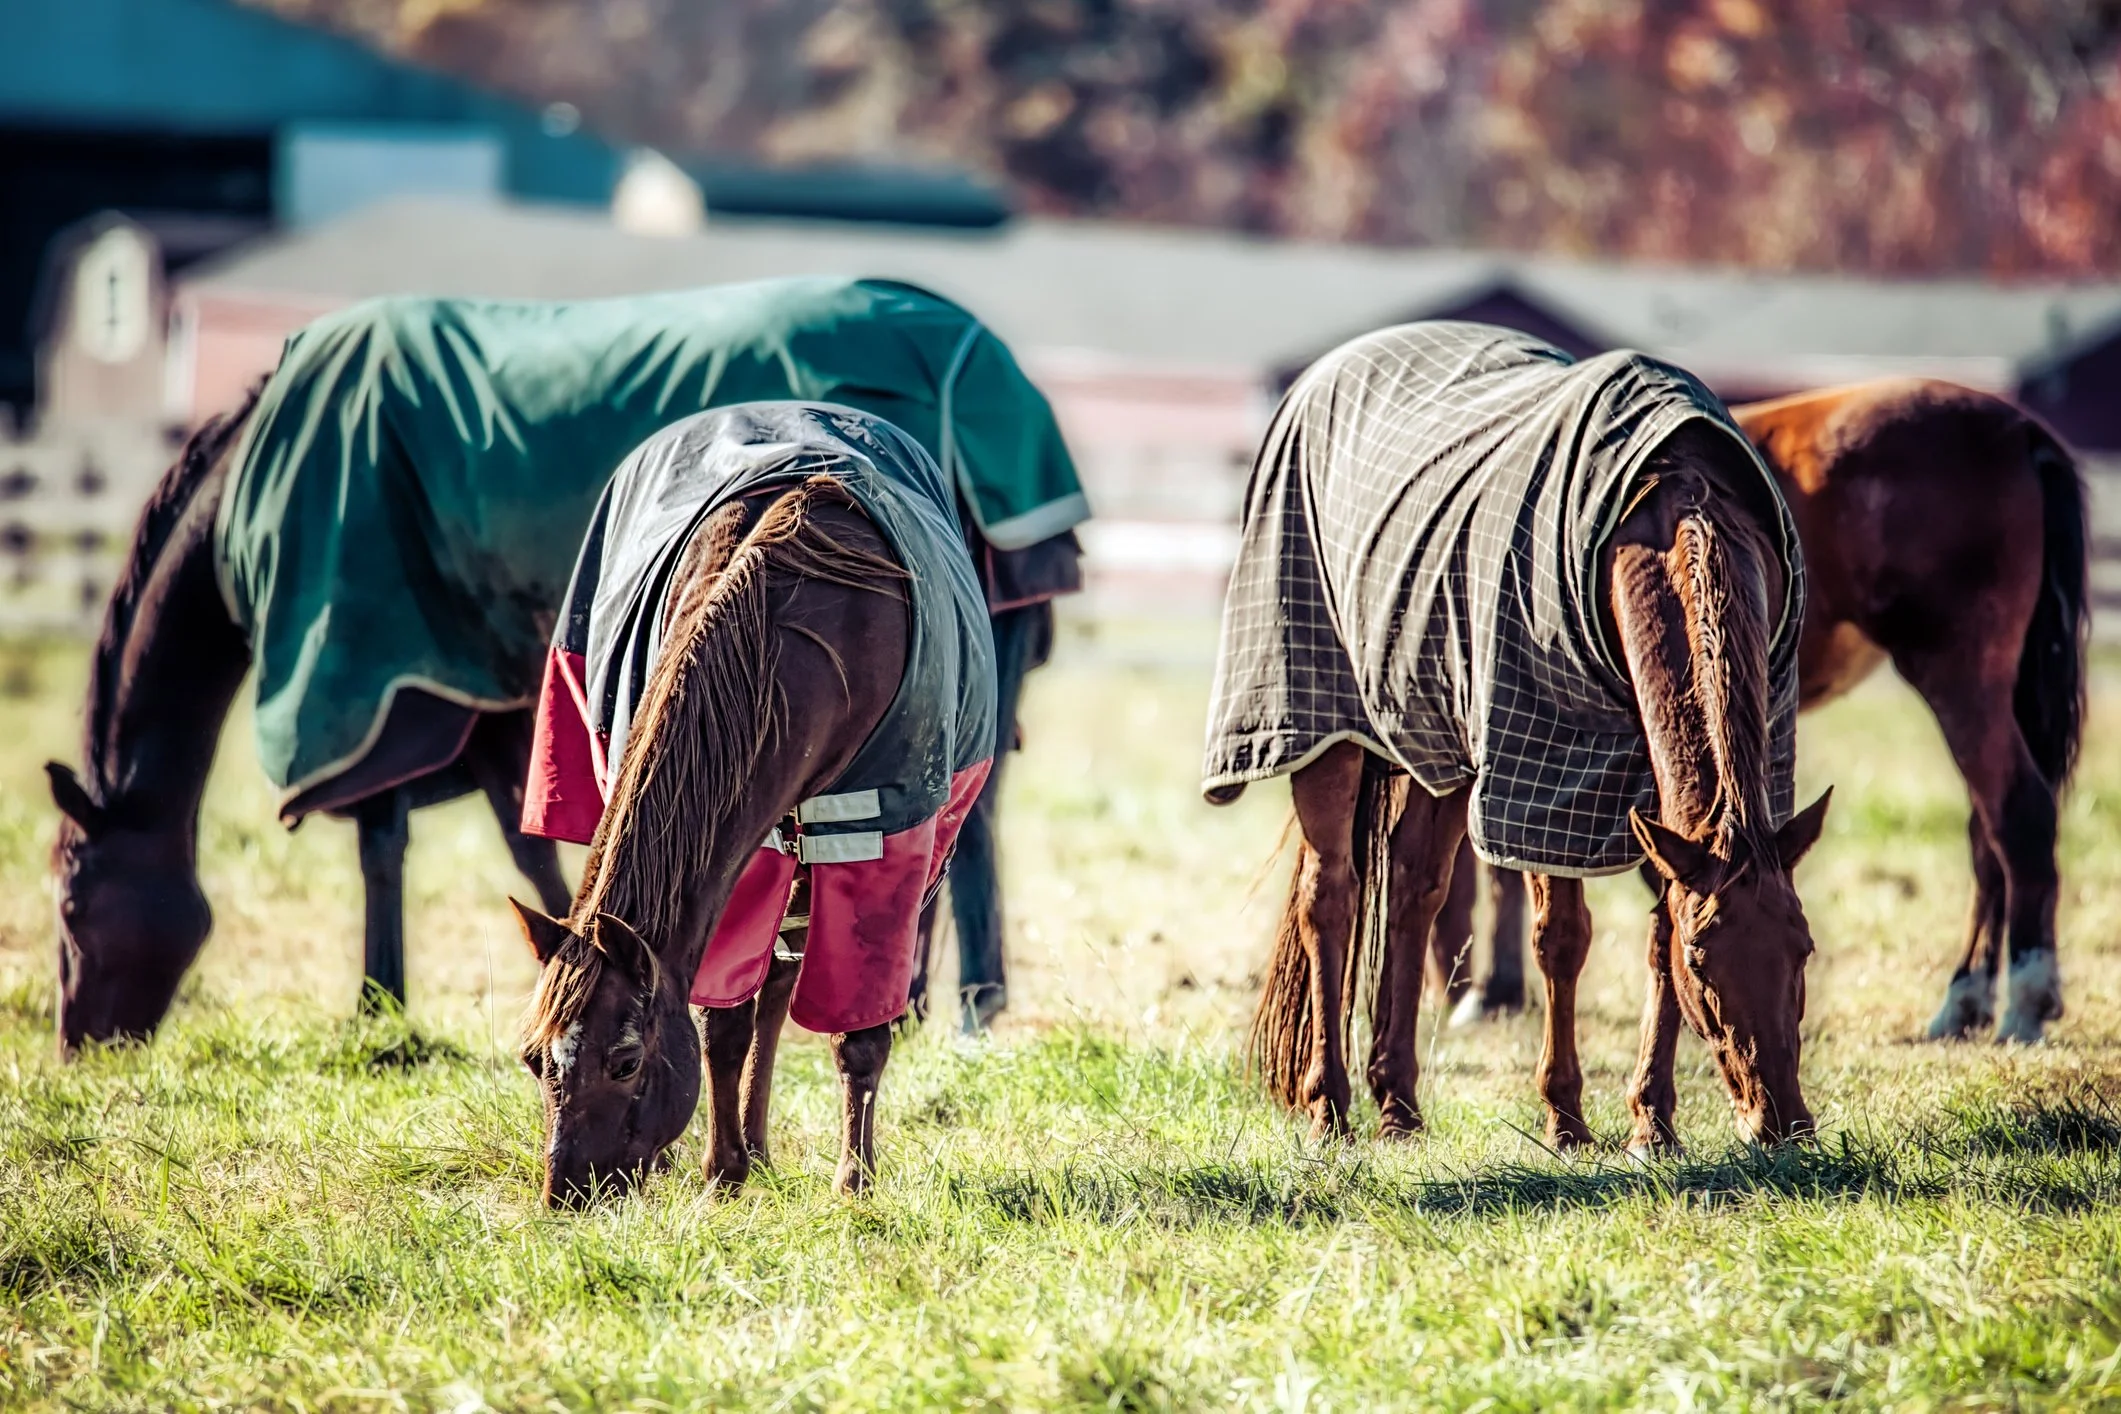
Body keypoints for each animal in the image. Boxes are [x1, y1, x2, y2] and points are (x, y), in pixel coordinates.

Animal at [512, 404, 992, 1206]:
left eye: (625, 1062)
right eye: (533, 1058)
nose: (567, 1194)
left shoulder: (881, 836)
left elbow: (858, 1029)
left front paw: (854, 1181)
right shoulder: (750, 845)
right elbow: (724, 1020)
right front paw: (722, 1172)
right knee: (769, 991)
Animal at [1214, 323, 1830, 1151]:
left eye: (1803, 947)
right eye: (1705, 962)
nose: (1781, 1122)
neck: (1674, 507)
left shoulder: (1641, 791)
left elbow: (1652, 933)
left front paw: (1651, 1121)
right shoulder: (1544, 767)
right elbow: (1562, 938)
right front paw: (1565, 1116)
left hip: (1438, 738)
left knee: (1412, 889)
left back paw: (1397, 1103)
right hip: (1319, 725)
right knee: (1330, 898)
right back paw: (1328, 1108)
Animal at [1436, 379, 2087, 1046]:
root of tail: (2020, 431)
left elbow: (1502, 862)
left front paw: (1489, 994)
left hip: (1959, 676)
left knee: (2018, 817)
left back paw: (2024, 1003)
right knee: (1987, 835)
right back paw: (1966, 1000)